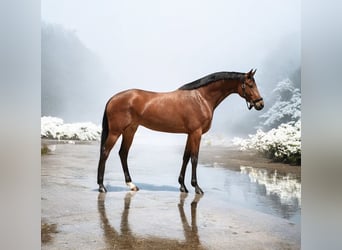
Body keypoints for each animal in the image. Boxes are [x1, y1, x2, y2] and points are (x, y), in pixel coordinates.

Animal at [97, 69, 264, 194]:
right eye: (250, 85)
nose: (260, 104)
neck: (201, 98)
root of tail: (113, 98)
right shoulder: (196, 133)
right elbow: (194, 158)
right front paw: (197, 187)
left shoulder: (190, 134)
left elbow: (185, 157)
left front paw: (183, 186)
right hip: (116, 132)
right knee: (105, 152)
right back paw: (102, 186)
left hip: (130, 130)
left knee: (123, 153)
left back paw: (131, 185)